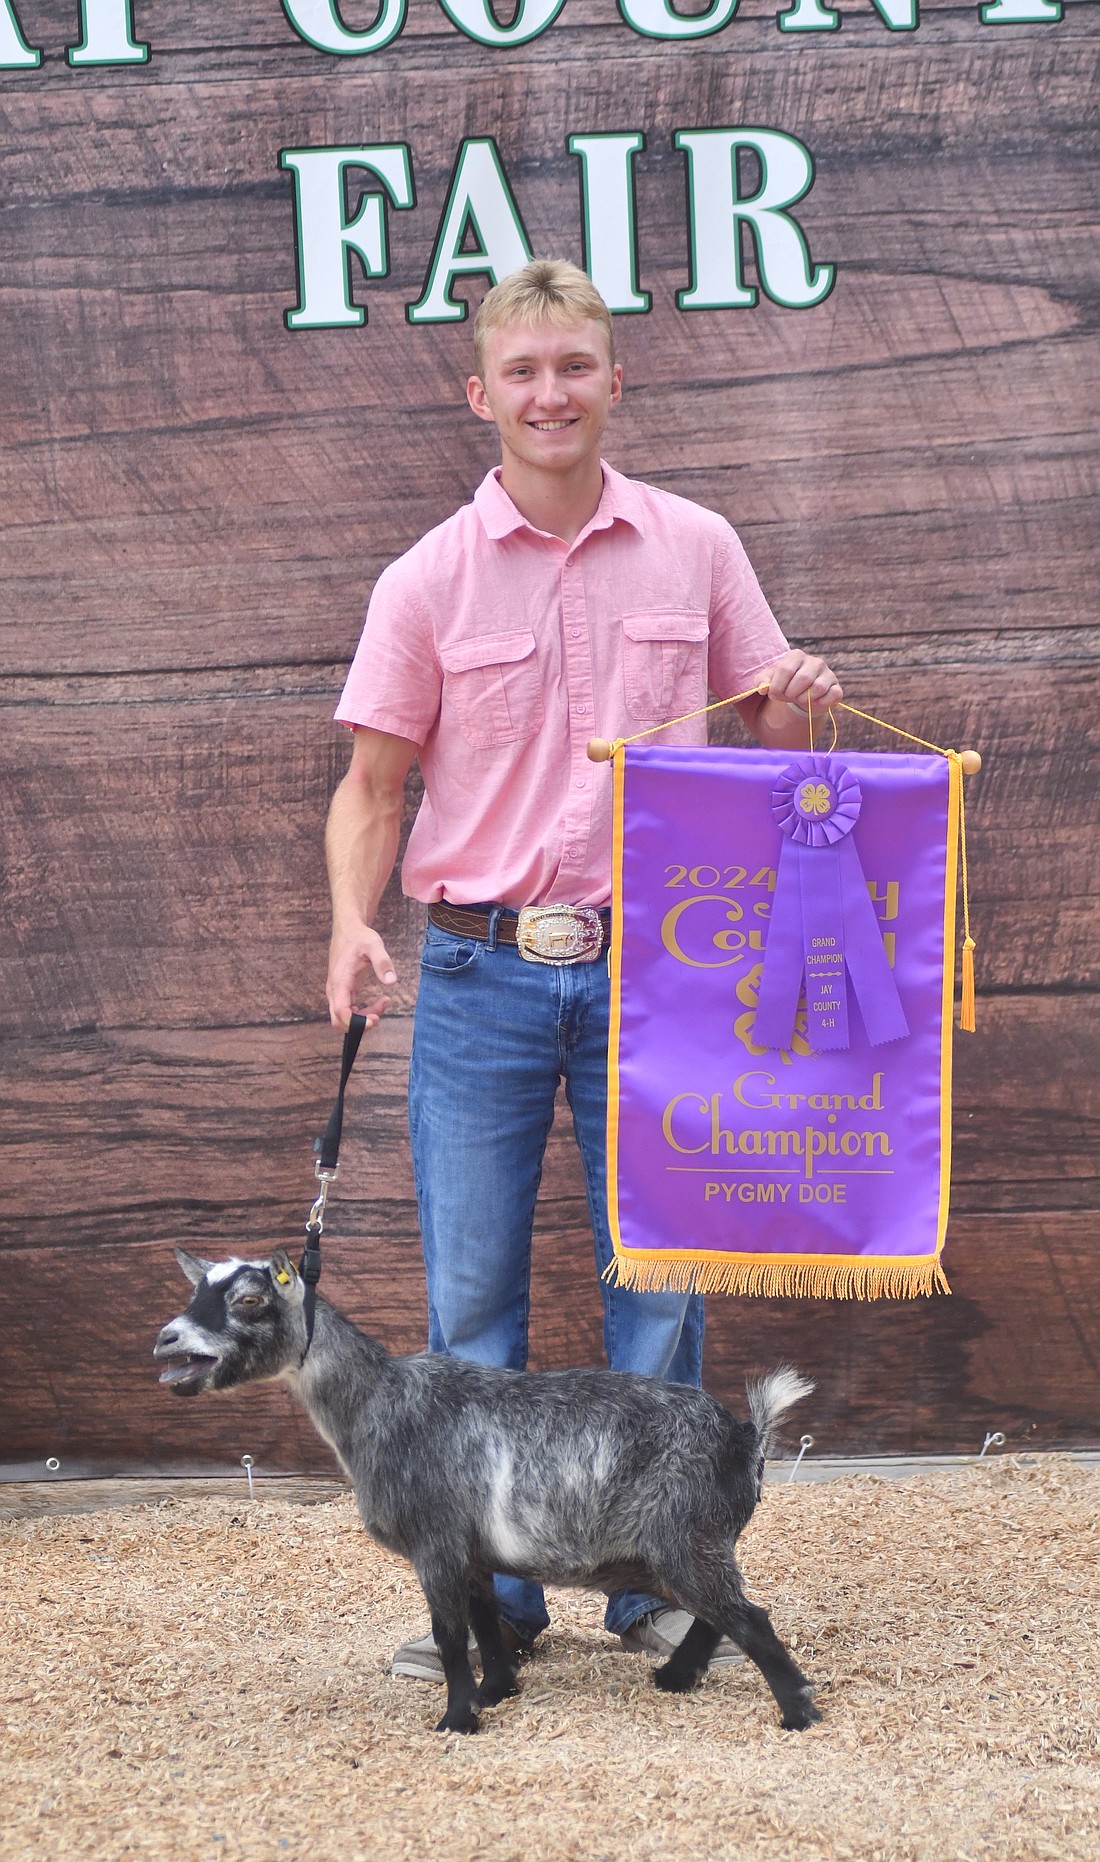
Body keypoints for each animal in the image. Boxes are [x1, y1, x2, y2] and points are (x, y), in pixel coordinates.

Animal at [157, 1243, 818, 1735]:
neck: (377, 1403)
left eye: (249, 1299)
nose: (167, 1339)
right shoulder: (471, 1552)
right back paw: (677, 1678)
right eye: (195, 1293)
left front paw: (457, 1719)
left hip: (684, 1539)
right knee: (720, 1614)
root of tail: (745, 1437)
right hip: (684, 1549)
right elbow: (484, 1623)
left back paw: (798, 1713)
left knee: (748, 1617)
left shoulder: (437, 1544)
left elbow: (452, 1637)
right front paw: (496, 1692)